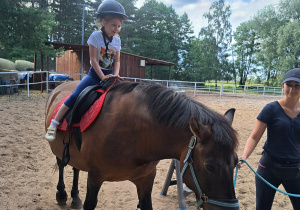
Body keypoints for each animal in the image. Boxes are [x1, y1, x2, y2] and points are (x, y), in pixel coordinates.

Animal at [45, 79, 239, 210]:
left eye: (236, 163)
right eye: (210, 166)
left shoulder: (146, 178)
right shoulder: (95, 176)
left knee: (75, 168)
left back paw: (75, 197)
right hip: (58, 149)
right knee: (62, 164)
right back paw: (62, 195)